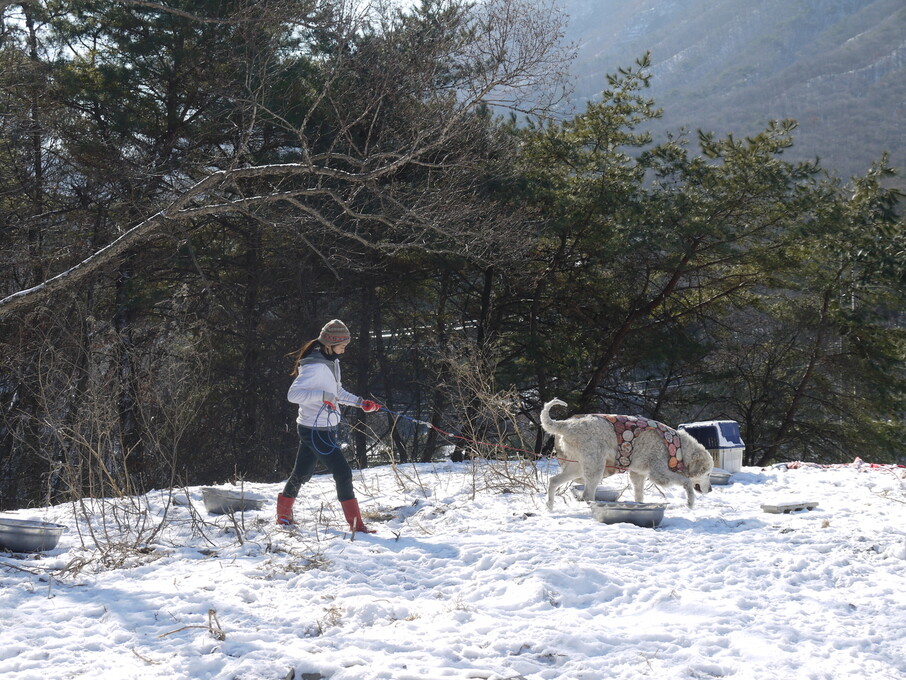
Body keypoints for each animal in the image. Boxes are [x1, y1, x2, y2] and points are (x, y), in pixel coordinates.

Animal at [540, 398, 708, 510]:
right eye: (707, 474)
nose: (711, 489)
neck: (678, 447)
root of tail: (567, 425)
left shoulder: (637, 474)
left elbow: (639, 494)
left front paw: (640, 505)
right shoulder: (659, 473)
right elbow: (686, 482)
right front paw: (690, 502)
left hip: (578, 467)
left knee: (553, 481)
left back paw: (550, 506)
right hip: (595, 466)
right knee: (587, 494)